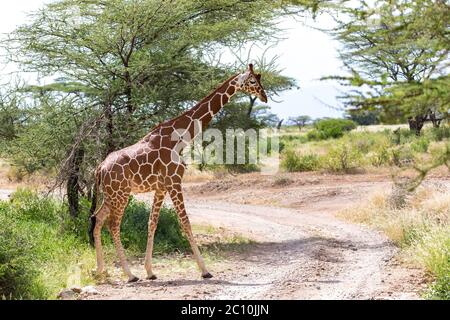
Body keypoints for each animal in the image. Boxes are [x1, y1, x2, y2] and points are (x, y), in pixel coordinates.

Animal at [89, 63, 268, 282]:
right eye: (252, 81)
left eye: (260, 78)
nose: (264, 96)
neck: (181, 139)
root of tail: (99, 169)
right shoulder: (174, 181)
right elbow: (185, 223)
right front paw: (205, 270)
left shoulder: (161, 187)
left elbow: (152, 223)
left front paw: (150, 271)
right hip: (121, 194)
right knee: (113, 225)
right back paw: (130, 275)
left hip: (111, 195)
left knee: (97, 219)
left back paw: (100, 270)